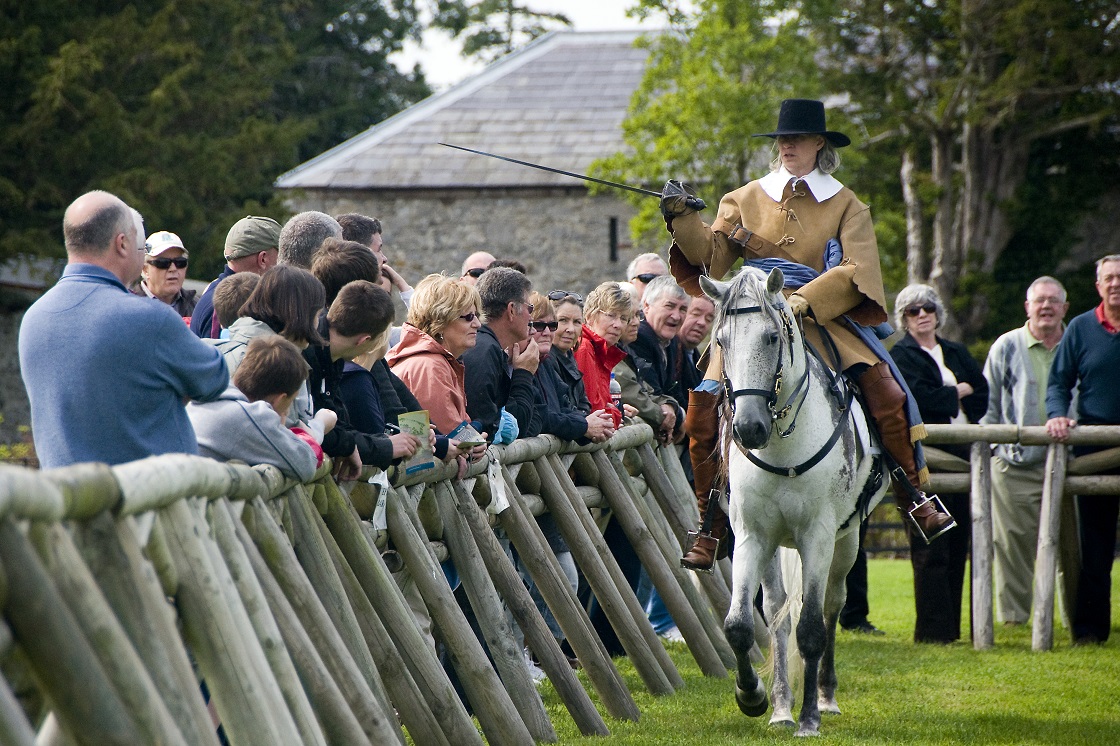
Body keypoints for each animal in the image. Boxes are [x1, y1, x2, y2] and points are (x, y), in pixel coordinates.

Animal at [698, 264, 891, 734]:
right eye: (721, 341)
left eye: (771, 337)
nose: (749, 428)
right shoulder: (752, 536)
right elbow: (740, 625)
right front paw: (753, 697)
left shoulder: (817, 536)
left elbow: (811, 629)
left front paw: (809, 719)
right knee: (777, 613)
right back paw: (782, 708)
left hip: (846, 542)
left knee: (831, 606)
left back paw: (824, 698)